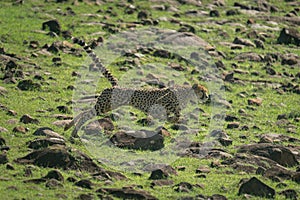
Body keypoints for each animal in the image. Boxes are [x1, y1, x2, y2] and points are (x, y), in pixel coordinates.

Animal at [64, 36, 209, 138]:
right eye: (203, 91)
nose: (207, 96)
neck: (188, 94)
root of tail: (117, 85)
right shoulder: (161, 102)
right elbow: (176, 114)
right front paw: (172, 119)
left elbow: (174, 115)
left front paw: (171, 120)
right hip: (104, 105)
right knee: (86, 114)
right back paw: (73, 133)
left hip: (108, 106)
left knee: (84, 112)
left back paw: (68, 128)